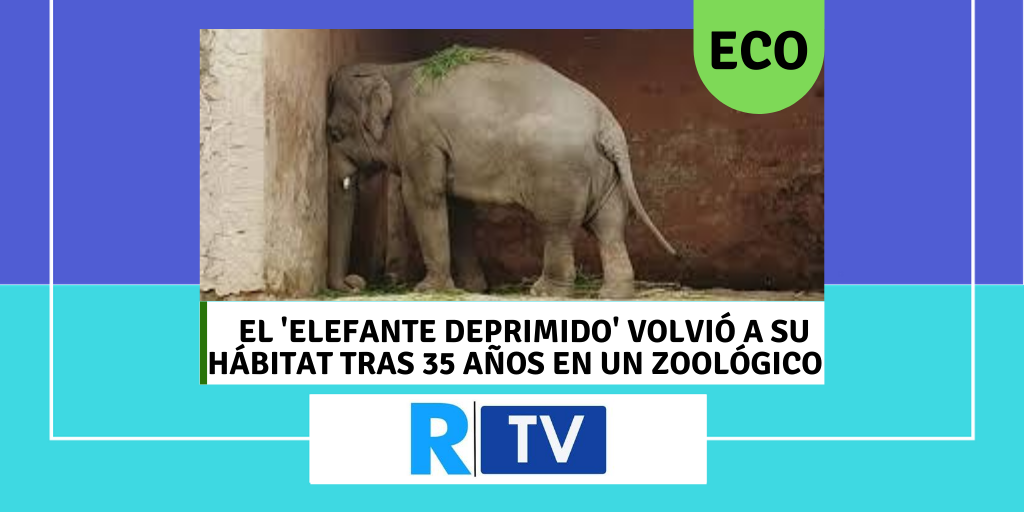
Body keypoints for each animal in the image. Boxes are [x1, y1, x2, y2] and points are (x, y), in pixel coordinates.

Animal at [326, 47, 677, 299]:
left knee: (558, 227)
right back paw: (613, 294)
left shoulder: (419, 135)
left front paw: (428, 289)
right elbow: (456, 206)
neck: (391, 69)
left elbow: (424, 197)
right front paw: (472, 289)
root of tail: (608, 125)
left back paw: (545, 292)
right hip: (605, 173)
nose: (355, 283)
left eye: (334, 133)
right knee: (609, 226)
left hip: (560, 171)